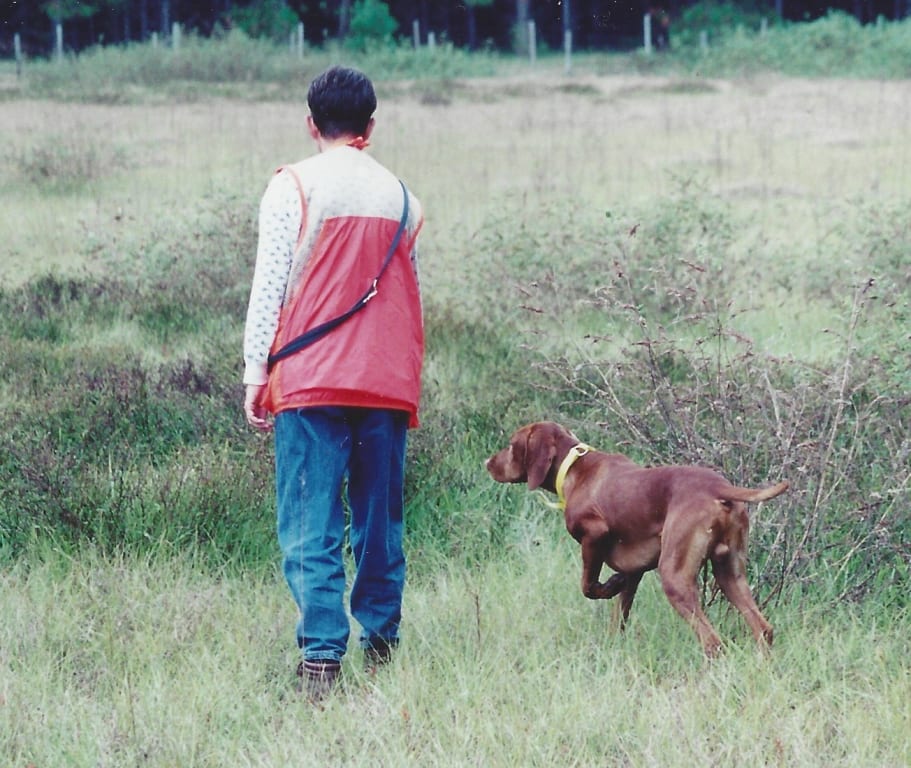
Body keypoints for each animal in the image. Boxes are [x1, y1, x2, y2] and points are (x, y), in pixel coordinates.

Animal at [488, 424, 788, 656]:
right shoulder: (635, 571)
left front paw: (610, 584)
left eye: (511, 445)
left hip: (675, 578)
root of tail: (719, 488)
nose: (487, 463)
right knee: (763, 629)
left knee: (712, 643)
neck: (573, 467)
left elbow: (588, 586)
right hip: (729, 573)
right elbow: (618, 619)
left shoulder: (594, 534)